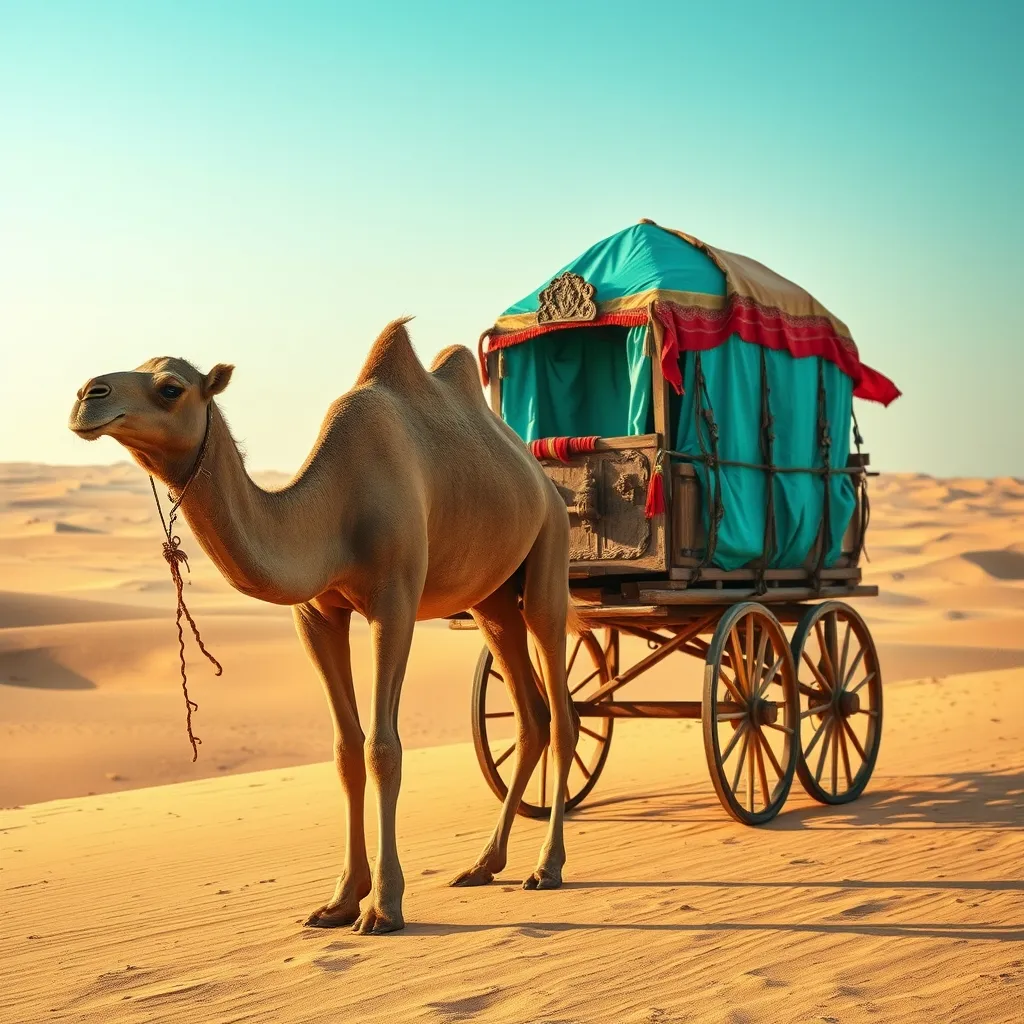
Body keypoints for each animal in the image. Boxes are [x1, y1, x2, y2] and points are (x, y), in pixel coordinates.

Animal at [68, 318, 580, 934]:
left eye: (171, 387)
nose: (87, 395)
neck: (332, 510)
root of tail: (543, 478)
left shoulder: (394, 602)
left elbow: (383, 747)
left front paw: (384, 905)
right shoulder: (314, 613)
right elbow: (345, 751)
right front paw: (340, 899)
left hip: (550, 554)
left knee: (562, 712)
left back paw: (547, 866)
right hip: (491, 599)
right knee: (530, 715)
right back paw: (484, 864)